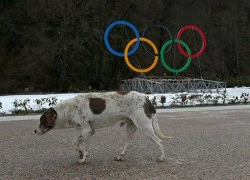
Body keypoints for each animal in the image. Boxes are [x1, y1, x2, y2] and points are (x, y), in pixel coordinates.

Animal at [34, 91, 172, 163]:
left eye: (42, 121)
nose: (34, 131)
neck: (67, 109)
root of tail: (146, 99)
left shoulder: (86, 131)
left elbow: (75, 143)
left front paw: (81, 156)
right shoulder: (89, 132)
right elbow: (83, 146)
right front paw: (82, 155)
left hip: (145, 128)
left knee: (159, 141)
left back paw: (162, 157)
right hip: (131, 126)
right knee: (128, 143)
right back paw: (120, 156)